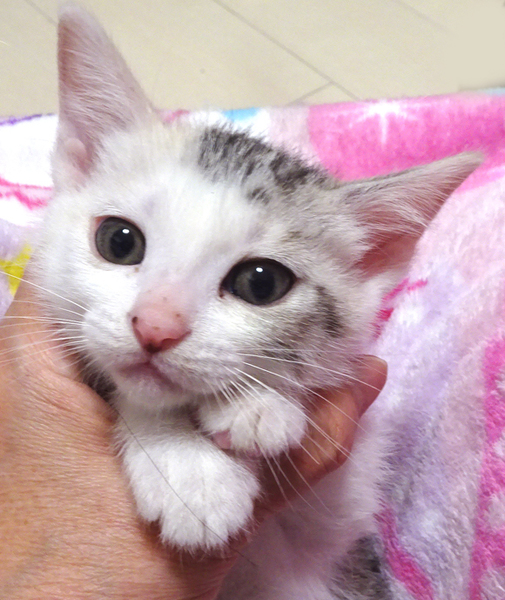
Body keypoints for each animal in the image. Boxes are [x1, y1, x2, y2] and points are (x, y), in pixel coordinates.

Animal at [33, 4, 480, 599]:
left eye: (261, 284)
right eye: (118, 241)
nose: (155, 326)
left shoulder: (340, 524)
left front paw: (259, 407)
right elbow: (132, 391)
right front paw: (191, 472)